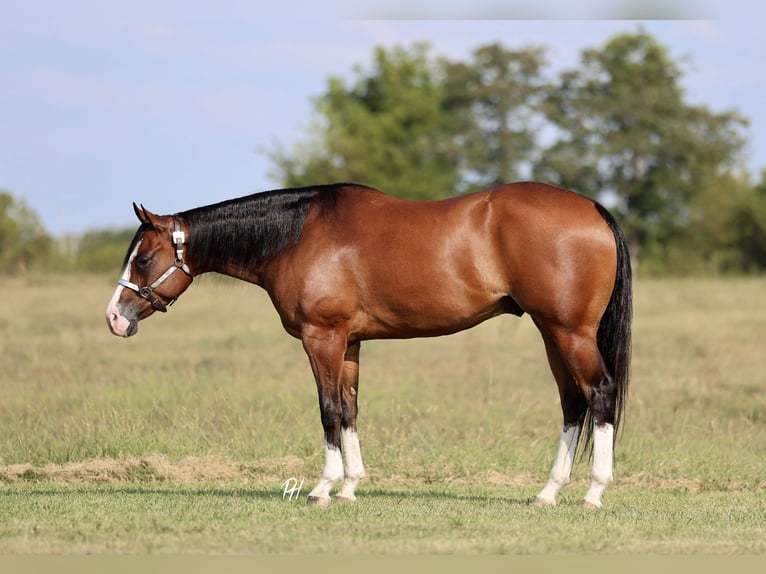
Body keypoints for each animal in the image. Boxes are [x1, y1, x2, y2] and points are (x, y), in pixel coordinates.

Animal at [106, 181, 632, 509]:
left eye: (144, 259)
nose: (114, 318)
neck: (298, 235)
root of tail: (592, 208)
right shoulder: (351, 343)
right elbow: (350, 409)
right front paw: (350, 487)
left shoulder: (323, 337)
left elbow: (328, 411)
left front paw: (322, 488)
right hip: (552, 333)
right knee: (572, 403)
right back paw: (549, 492)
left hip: (569, 332)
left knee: (600, 393)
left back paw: (593, 493)